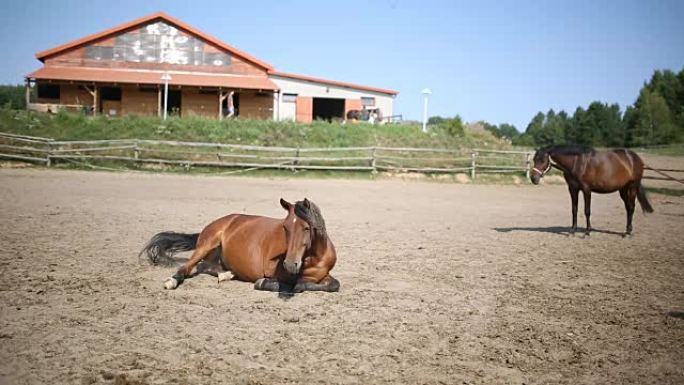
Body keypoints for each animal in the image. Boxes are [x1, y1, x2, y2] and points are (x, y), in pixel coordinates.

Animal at [139, 198, 340, 292]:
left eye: (307, 228)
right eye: (285, 227)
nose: (290, 264)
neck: (313, 259)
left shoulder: (323, 276)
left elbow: (333, 285)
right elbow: (286, 284)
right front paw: (264, 283)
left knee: (205, 266)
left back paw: (226, 274)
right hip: (207, 243)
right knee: (187, 267)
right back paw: (171, 281)